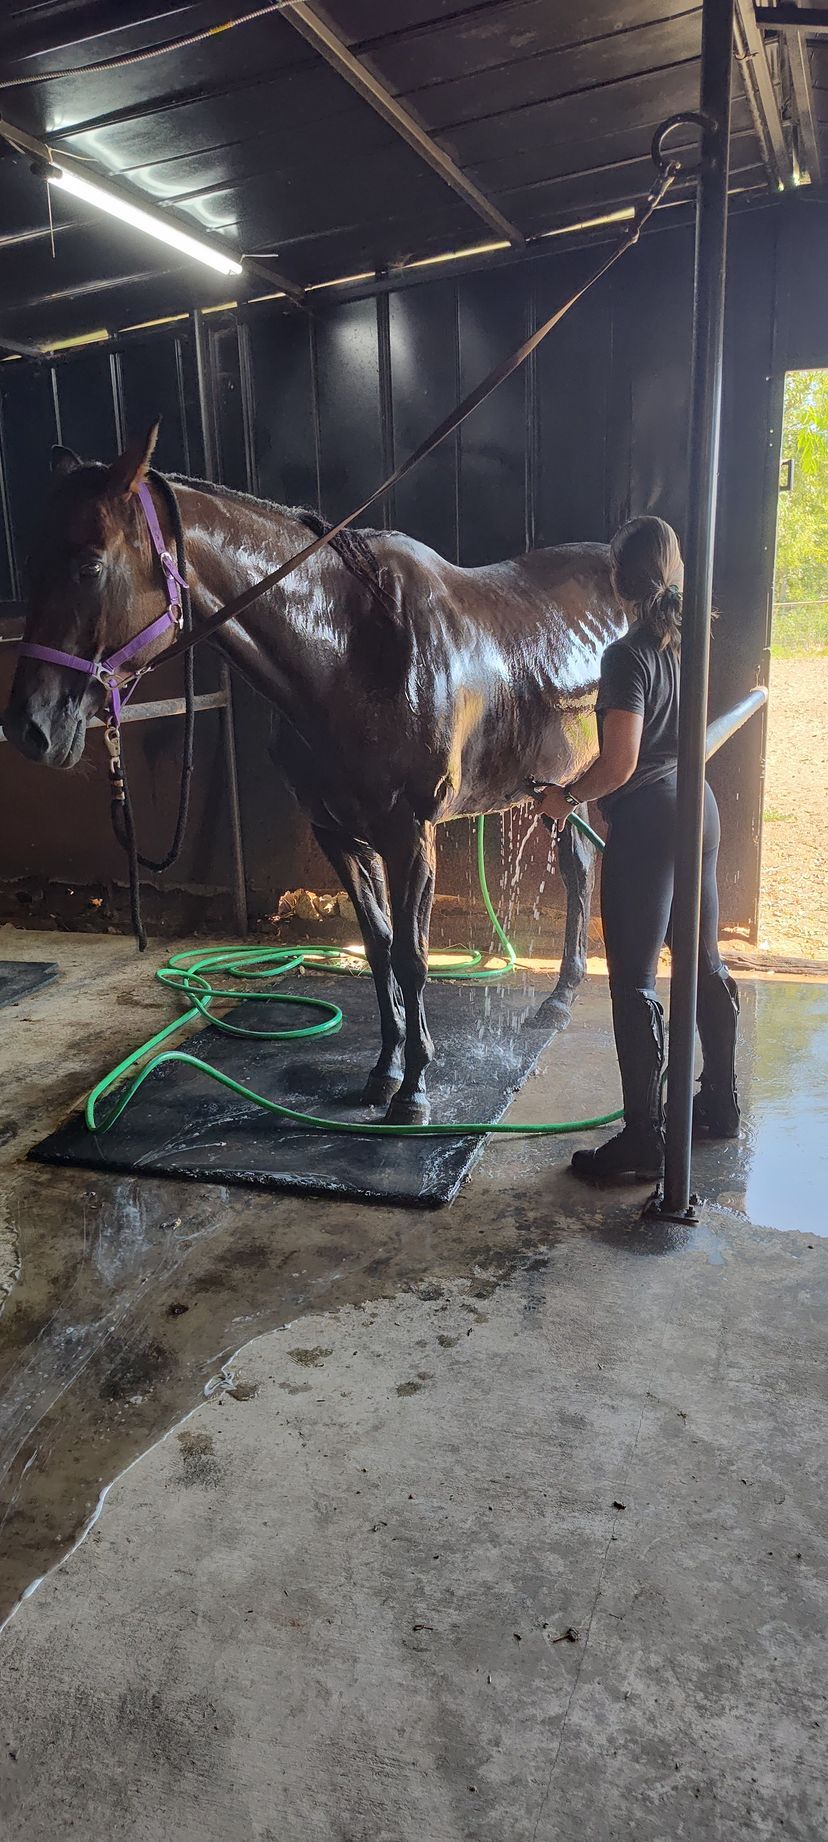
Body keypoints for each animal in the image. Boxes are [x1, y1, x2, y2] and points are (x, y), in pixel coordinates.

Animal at [3, 423, 626, 1124]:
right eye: (32, 562)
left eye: (89, 565)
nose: (29, 727)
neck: (352, 653)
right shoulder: (337, 832)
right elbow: (378, 948)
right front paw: (384, 1073)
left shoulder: (410, 834)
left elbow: (412, 958)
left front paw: (415, 1092)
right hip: (563, 793)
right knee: (579, 869)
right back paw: (560, 997)